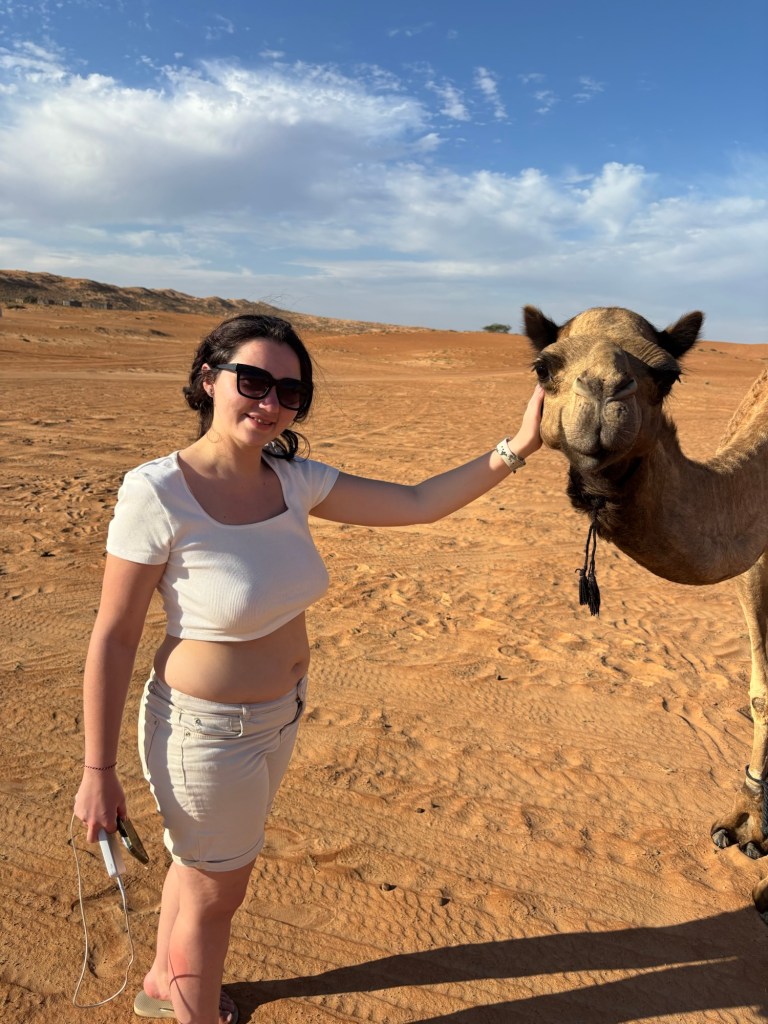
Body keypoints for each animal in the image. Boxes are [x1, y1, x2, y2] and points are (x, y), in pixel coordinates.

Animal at [522, 305, 768, 913]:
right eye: (544, 367)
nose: (602, 391)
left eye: (668, 375)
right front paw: (747, 825)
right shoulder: (755, 561)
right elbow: (761, 693)